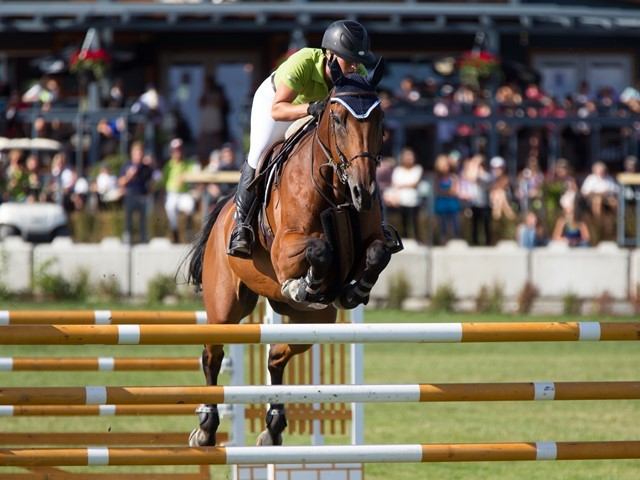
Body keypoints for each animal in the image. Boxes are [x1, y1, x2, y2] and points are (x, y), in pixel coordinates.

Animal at [186, 58, 401, 447]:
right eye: (338, 118)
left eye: (380, 119)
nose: (363, 191)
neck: (335, 187)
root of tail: (222, 213)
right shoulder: (285, 248)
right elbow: (319, 248)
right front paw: (306, 283)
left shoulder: (373, 241)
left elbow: (378, 253)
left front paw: (353, 290)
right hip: (224, 305)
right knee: (212, 355)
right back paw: (206, 428)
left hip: (316, 321)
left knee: (276, 356)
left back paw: (272, 427)